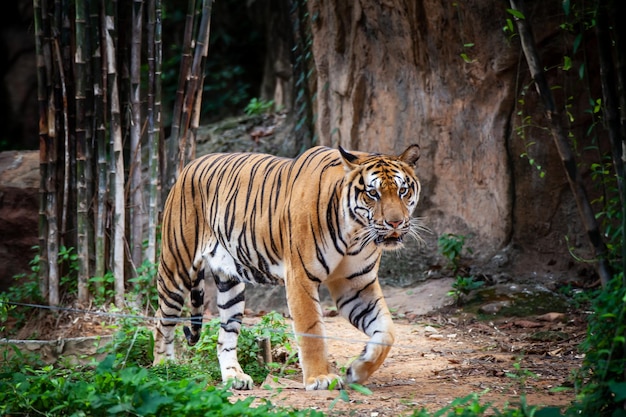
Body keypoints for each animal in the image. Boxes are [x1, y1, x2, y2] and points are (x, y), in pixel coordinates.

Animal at [154, 144, 422, 390]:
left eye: (402, 190)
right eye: (372, 193)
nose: (395, 222)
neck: (355, 234)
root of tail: (190, 165)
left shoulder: (356, 284)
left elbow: (387, 331)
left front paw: (358, 370)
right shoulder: (300, 277)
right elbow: (312, 330)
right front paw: (320, 378)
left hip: (230, 285)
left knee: (225, 335)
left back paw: (235, 377)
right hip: (176, 267)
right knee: (161, 319)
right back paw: (164, 369)